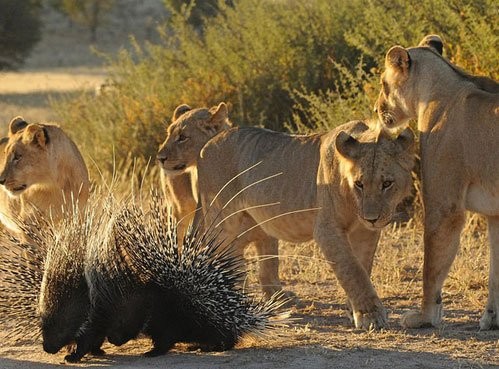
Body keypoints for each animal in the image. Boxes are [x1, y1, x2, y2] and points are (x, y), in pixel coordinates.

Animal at [193, 118, 416, 328]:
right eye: (359, 184)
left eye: (387, 183)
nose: (372, 218)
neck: (354, 204)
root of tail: (205, 147)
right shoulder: (327, 230)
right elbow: (351, 270)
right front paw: (370, 315)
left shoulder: (365, 232)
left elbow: (363, 267)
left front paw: (352, 308)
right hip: (223, 220)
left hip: (256, 224)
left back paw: (277, 299)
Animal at [376, 33, 499, 328]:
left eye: (384, 84)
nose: (376, 109)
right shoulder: (494, 213)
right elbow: (496, 271)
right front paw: (492, 318)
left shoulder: (444, 207)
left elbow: (431, 266)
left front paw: (424, 316)